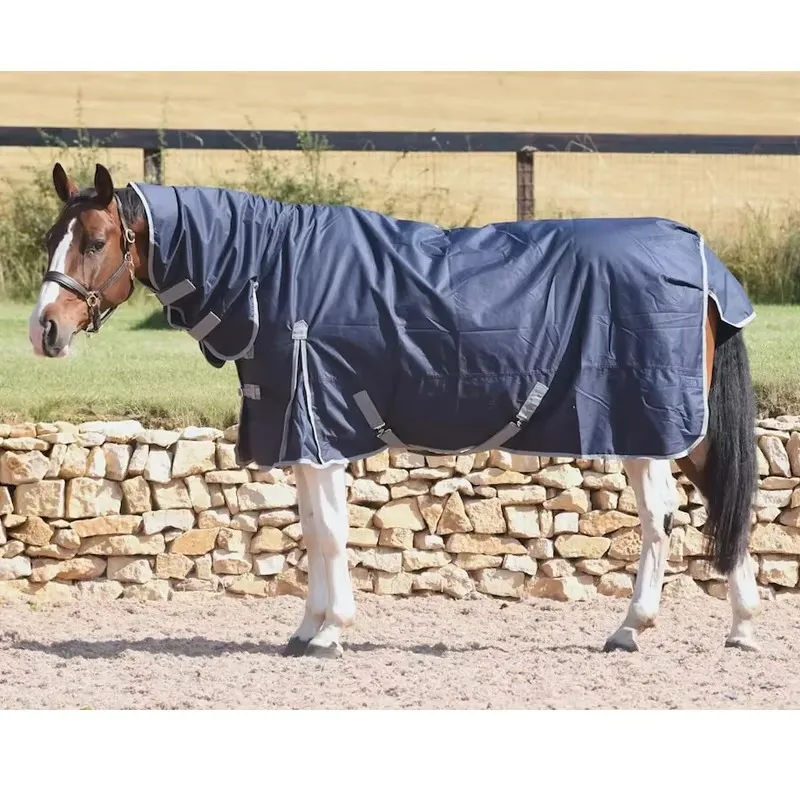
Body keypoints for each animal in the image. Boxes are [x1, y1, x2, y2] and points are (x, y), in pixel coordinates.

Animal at [27, 162, 761, 658]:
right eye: (49, 239)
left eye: (94, 242)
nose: (44, 332)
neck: (274, 273)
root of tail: (696, 254)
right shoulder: (303, 433)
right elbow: (312, 530)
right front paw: (307, 629)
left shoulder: (318, 426)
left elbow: (327, 533)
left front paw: (329, 634)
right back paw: (733, 629)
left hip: (653, 422)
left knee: (673, 515)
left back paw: (644, 627)